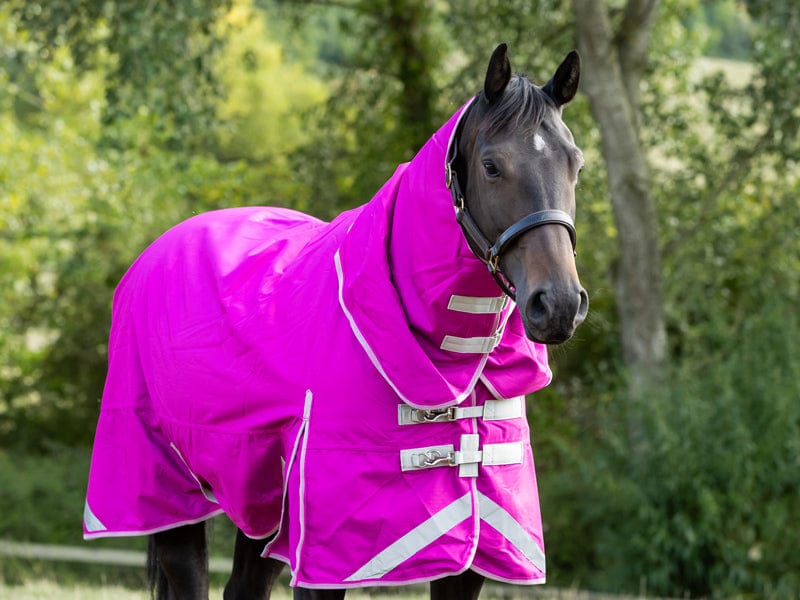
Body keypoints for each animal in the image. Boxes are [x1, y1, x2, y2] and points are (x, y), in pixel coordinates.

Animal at [83, 44, 588, 600]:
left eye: (575, 163)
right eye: (492, 166)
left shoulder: (474, 561)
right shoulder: (330, 553)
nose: (558, 304)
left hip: (260, 504)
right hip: (171, 493)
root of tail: (153, 256)